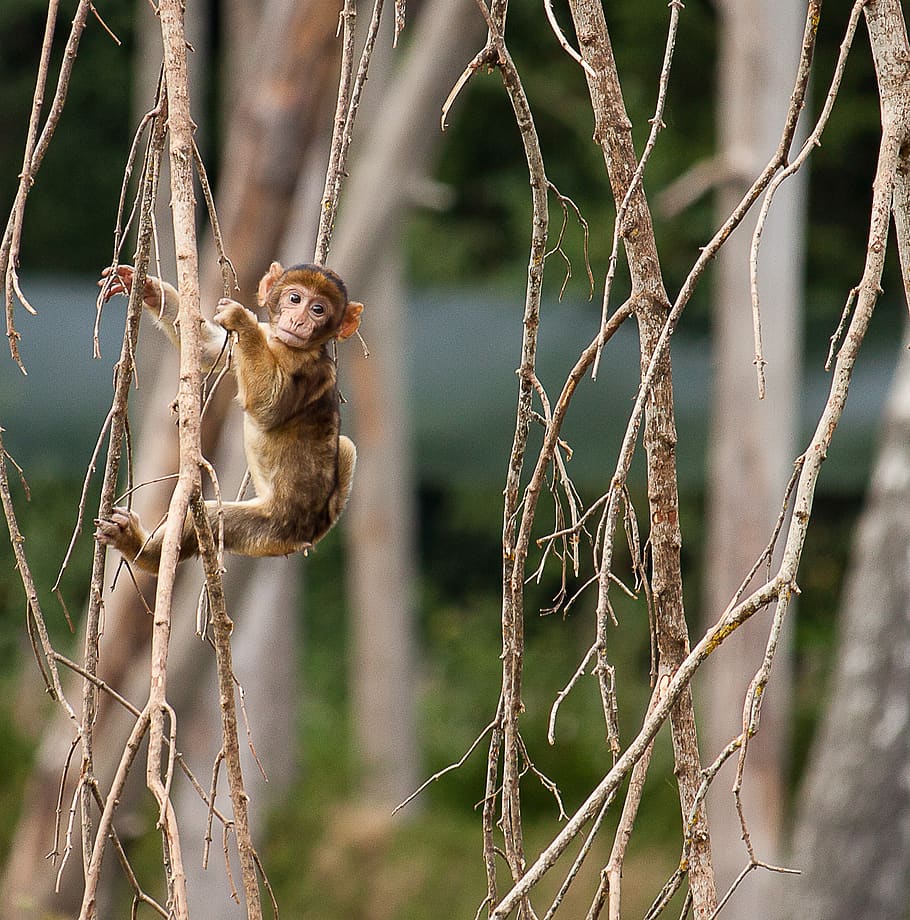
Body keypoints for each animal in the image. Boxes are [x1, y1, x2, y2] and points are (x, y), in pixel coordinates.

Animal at [95, 261, 363, 574]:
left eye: (318, 309)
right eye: (295, 298)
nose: (298, 320)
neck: (283, 344)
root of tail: (305, 537)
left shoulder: (307, 368)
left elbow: (267, 406)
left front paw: (240, 318)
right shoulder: (267, 331)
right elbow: (208, 350)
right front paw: (148, 288)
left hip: (269, 528)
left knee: (212, 517)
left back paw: (142, 550)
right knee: (345, 446)